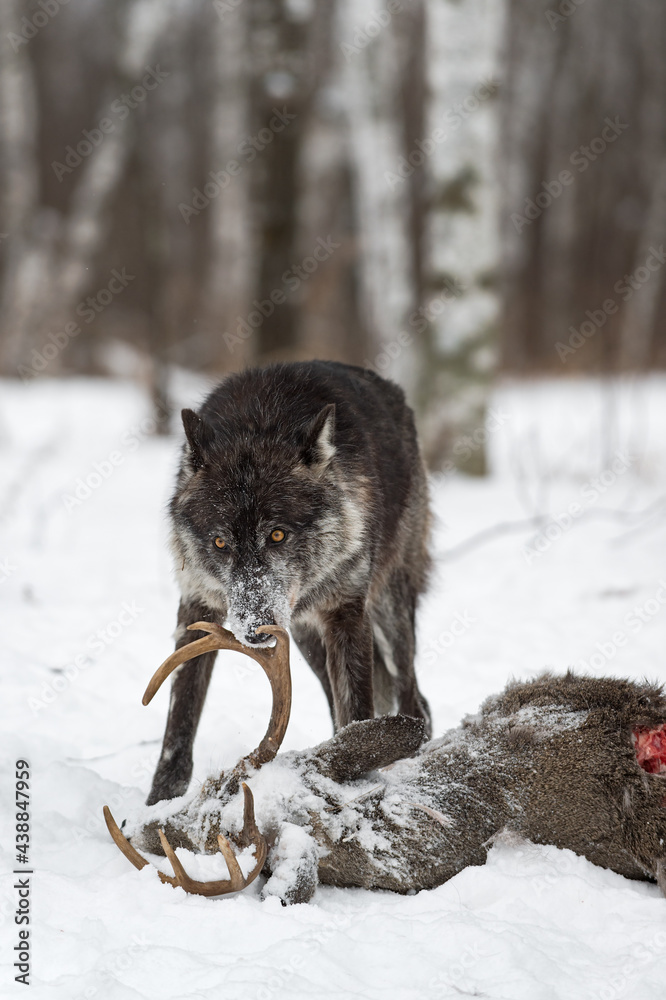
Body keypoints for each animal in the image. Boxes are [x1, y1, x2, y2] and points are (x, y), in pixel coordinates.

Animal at [146, 361, 432, 806]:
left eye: (277, 535)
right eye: (220, 542)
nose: (254, 630)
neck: (260, 422)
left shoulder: (347, 613)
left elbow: (358, 713)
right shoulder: (197, 607)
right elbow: (179, 725)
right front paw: (158, 805)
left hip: (389, 613)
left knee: (415, 699)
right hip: (305, 637)